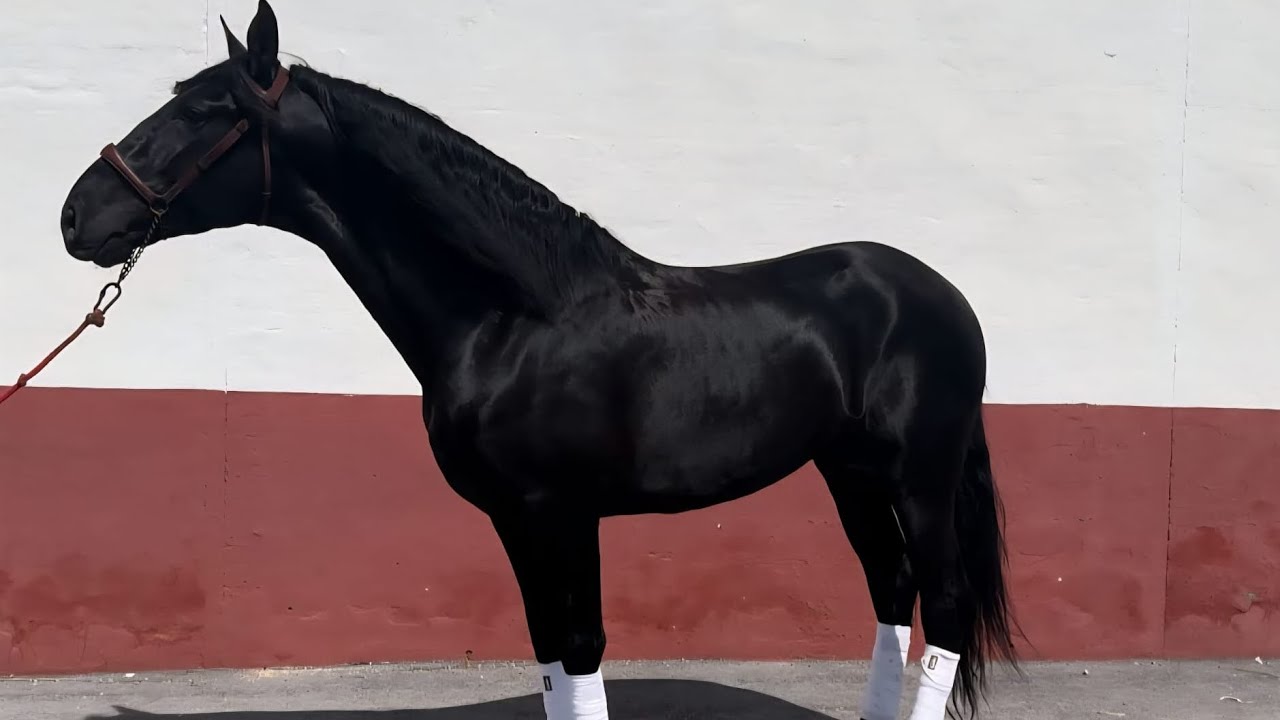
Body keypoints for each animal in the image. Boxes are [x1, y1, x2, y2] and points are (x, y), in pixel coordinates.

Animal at [57, 3, 1019, 718]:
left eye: (202, 114)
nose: (77, 214)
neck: (516, 320)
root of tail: (941, 294)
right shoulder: (516, 522)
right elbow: (553, 661)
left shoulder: (562, 514)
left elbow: (583, 653)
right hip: (847, 471)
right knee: (893, 594)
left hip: (920, 477)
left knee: (943, 610)